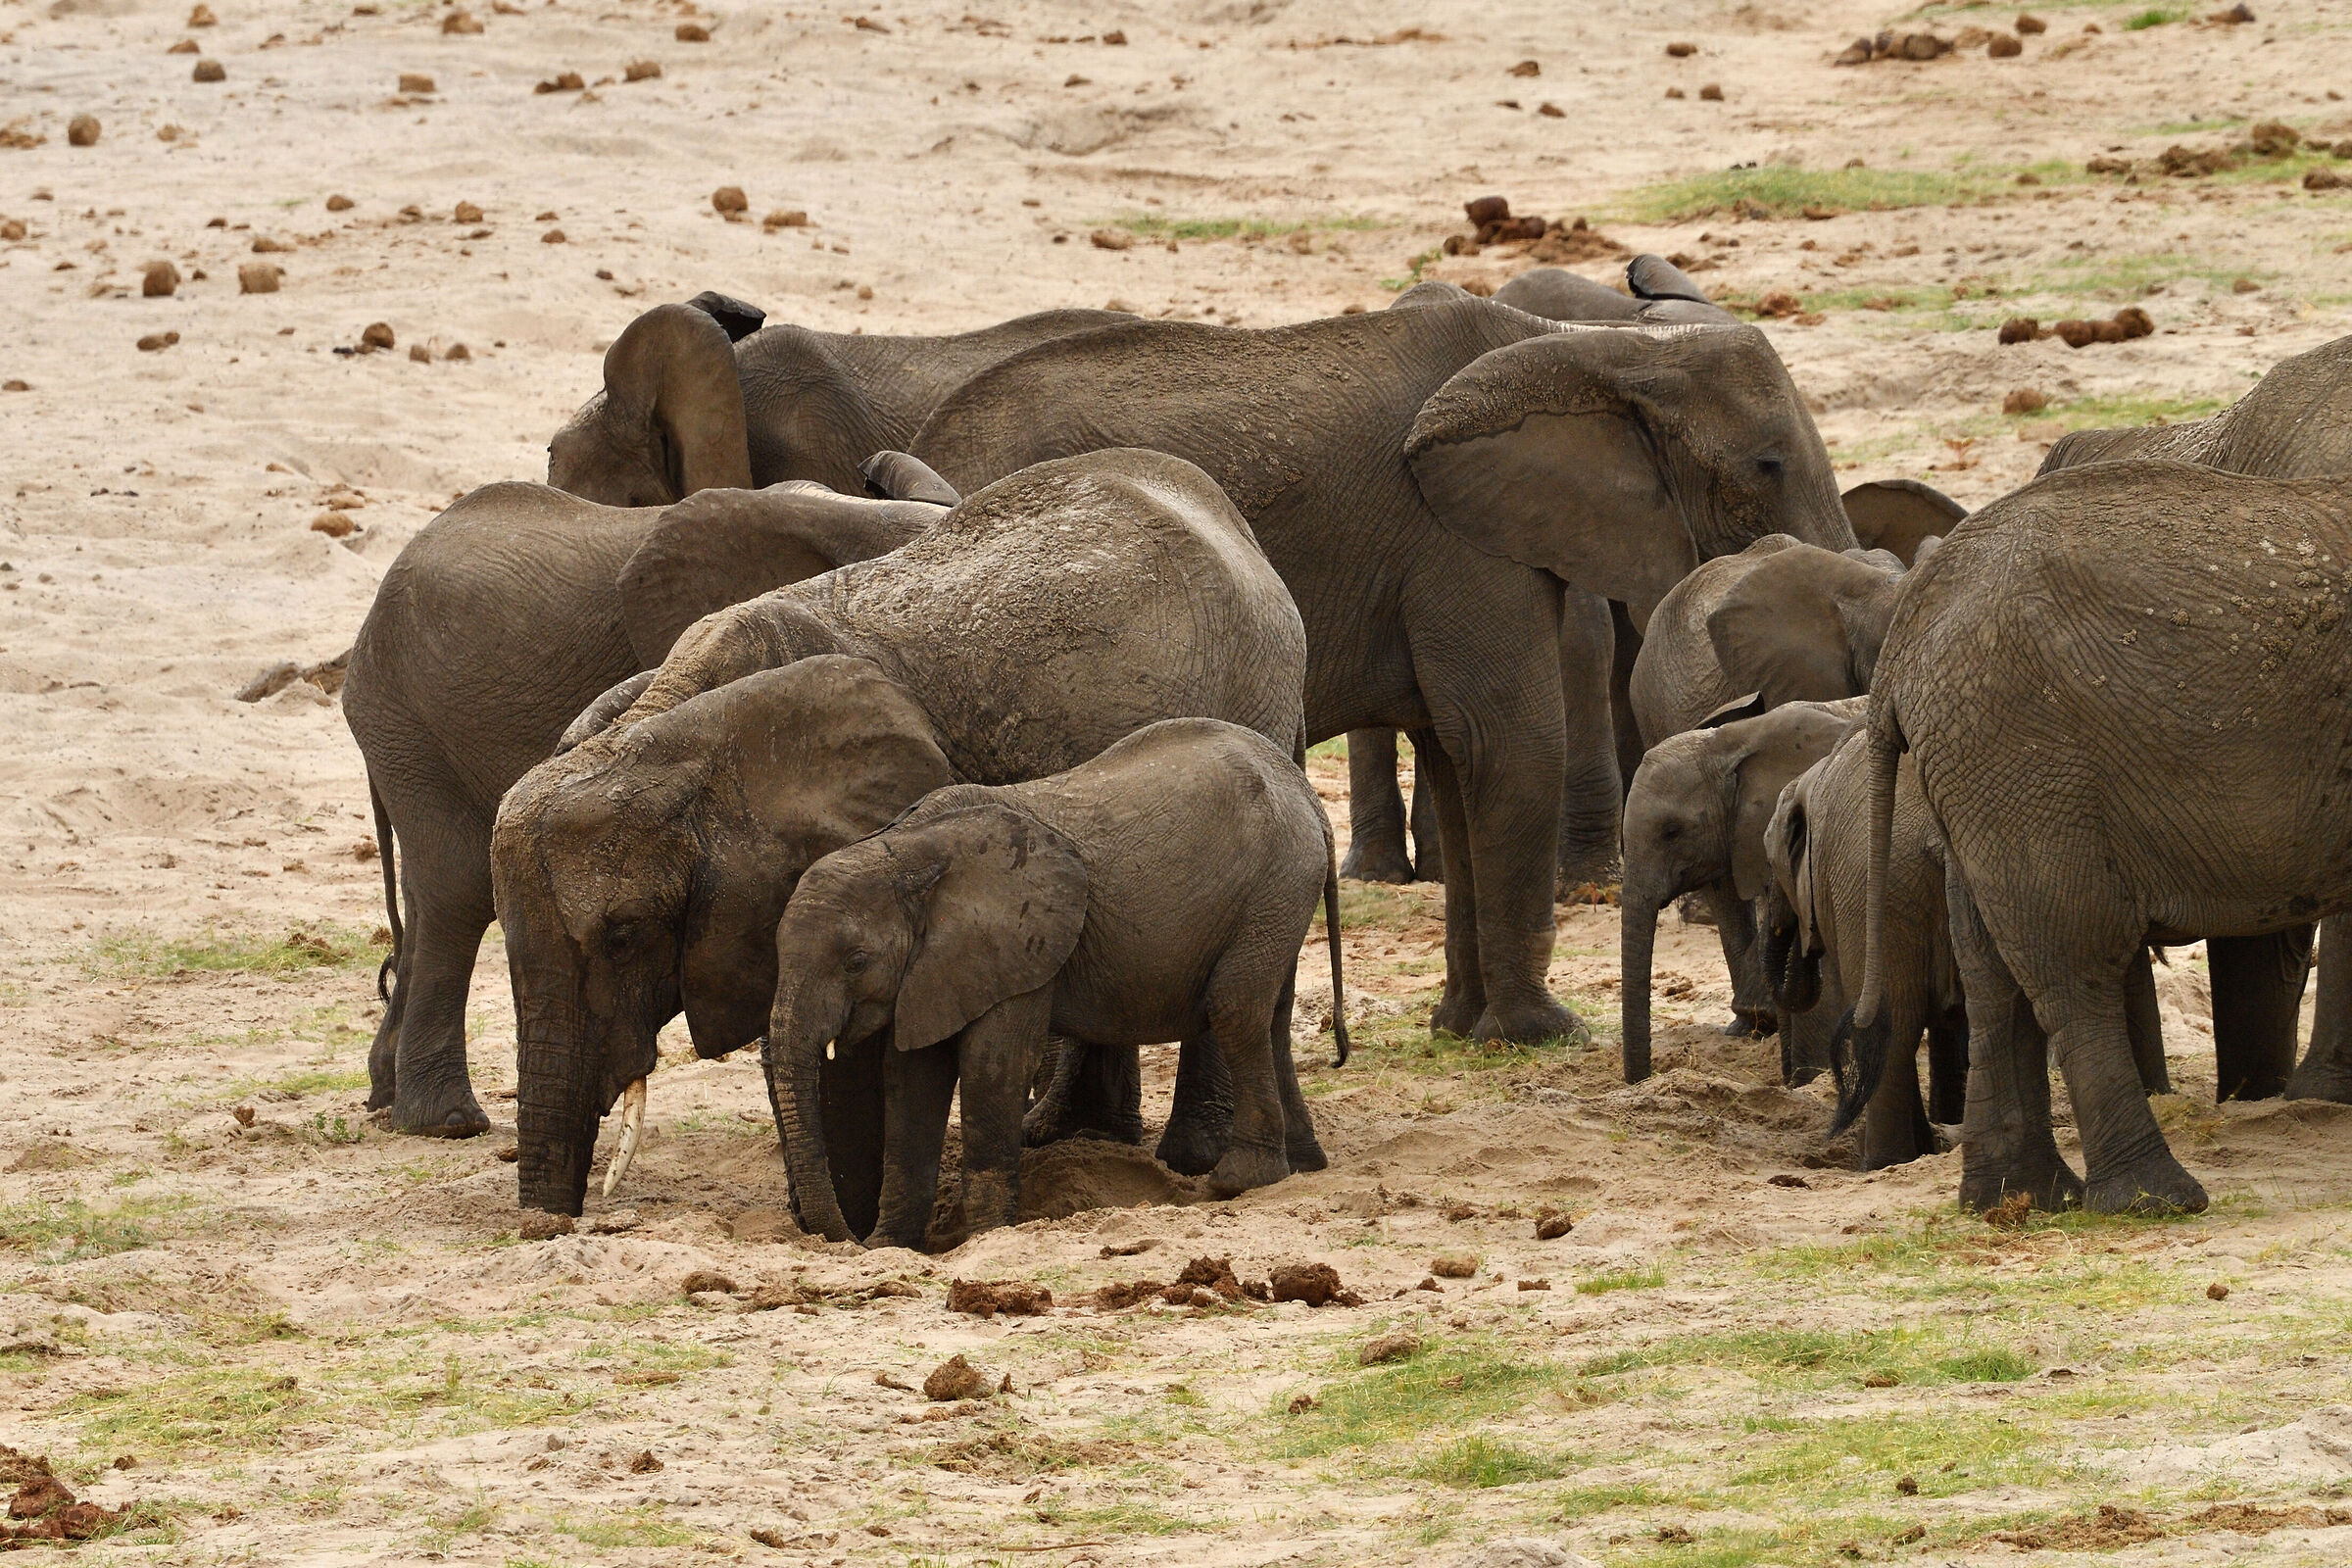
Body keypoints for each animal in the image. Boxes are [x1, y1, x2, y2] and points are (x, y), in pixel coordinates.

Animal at [494, 448, 1315, 1217]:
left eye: (624, 934)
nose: (547, 1227)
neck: (667, 729)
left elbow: (844, 1045)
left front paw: (848, 1220)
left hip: (1253, 694)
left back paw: (1194, 1158)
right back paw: (1070, 1137)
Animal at [770, 719, 1346, 1248]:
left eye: (855, 962)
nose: (842, 1238)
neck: (904, 850)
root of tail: (1309, 799)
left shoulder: (1020, 945)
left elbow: (992, 1064)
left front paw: (986, 1236)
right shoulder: (934, 968)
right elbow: (911, 1077)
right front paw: (892, 1247)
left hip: (1274, 884)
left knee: (1235, 1009)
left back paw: (1238, 1180)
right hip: (1279, 895)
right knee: (1273, 1018)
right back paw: (1303, 1165)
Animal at [906, 293, 1857, 1047]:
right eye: (1767, 465)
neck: (1592, 347)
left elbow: (1452, 755)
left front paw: (1463, 1028)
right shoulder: (1455, 538)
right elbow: (1506, 741)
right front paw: (1546, 1034)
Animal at [1849, 460, 2352, 1214]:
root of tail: (1900, 649)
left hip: (1978, 767)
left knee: (1994, 971)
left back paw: (2018, 1202)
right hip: (2027, 756)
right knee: (2073, 958)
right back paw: (2154, 1200)